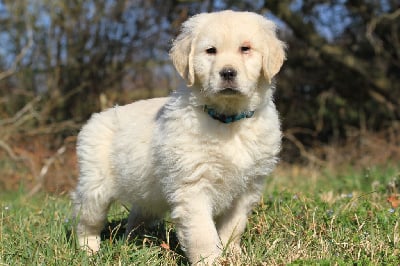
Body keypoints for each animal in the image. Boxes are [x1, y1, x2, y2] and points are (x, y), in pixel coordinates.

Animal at [71, 9, 284, 264]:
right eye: (210, 51)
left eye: (245, 49)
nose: (227, 72)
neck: (228, 120)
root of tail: (96, 117)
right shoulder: (192, 186)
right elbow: (203, 232)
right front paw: (210, 260)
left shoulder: (247, 188)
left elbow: (233, 227)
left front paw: (233, 255)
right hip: (96, 186)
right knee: (85, 220)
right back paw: (89, 250)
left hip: (148, 195)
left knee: (137, 217)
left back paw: (135, 243)